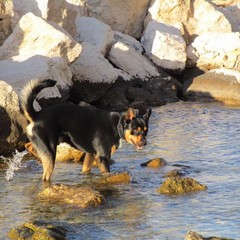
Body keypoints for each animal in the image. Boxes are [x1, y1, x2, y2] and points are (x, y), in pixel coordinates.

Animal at [20, 79, 152, 181]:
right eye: (135, 130)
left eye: (145, 130)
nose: (144, 143)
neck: (116, 125)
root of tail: (37, 115)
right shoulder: (102, 158)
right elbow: (106, 174)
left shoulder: (90, 155)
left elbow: (86, 170)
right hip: (50, 150)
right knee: (45, 176)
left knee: (29, 146)